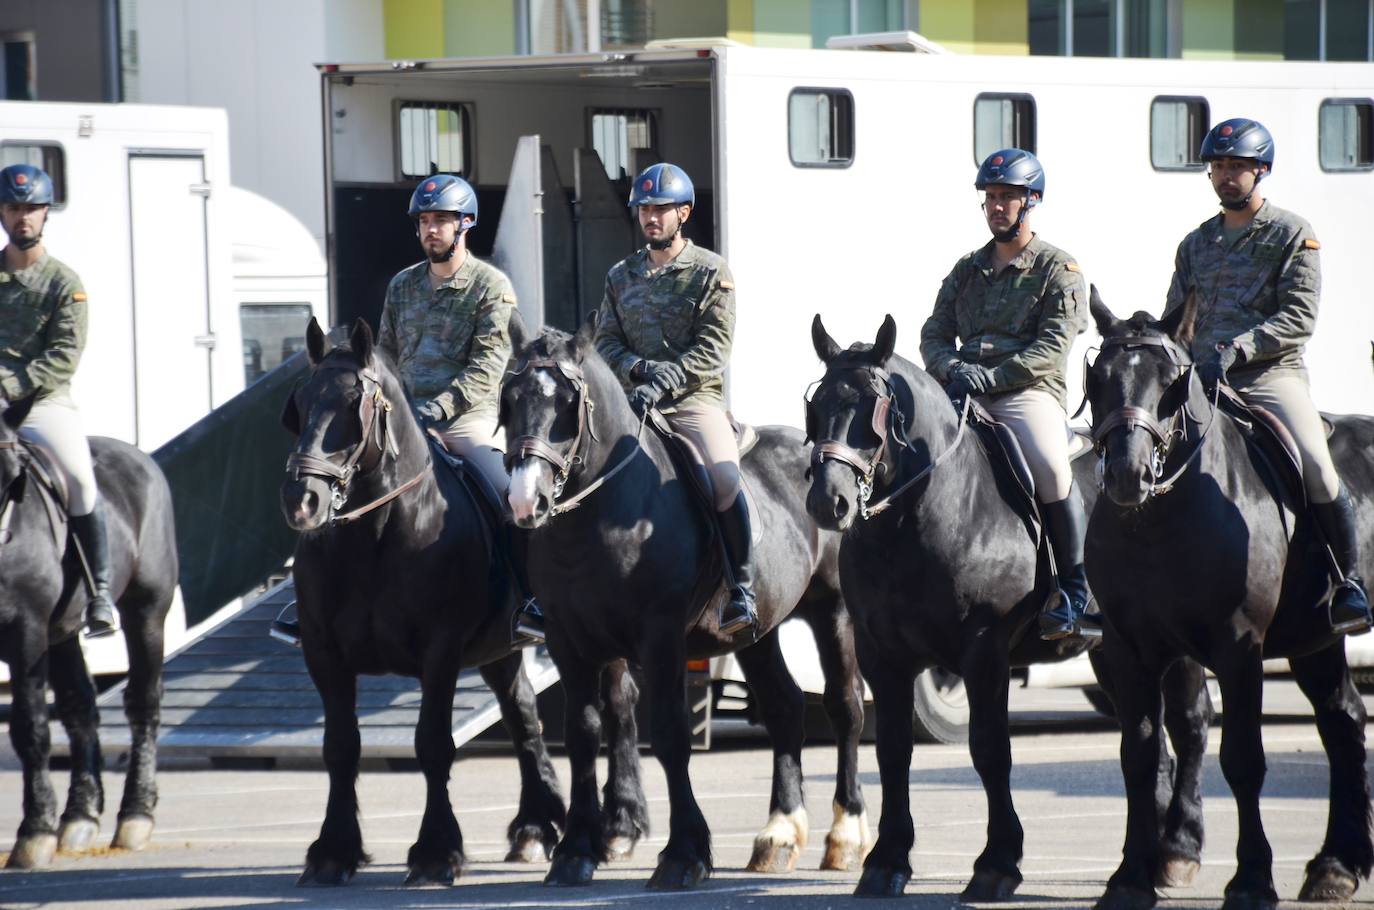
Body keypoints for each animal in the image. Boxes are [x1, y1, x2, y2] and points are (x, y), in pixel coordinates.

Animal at [0, 395, 177, 874]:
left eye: (13, 477)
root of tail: (137, 455)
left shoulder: (24, 629)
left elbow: (30, 728)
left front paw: (34, 832)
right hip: (60, 633)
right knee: (80, 708)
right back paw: (79, 816)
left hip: (146, 610)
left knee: (142, 703)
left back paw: (135, 815)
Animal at [283, 318, 568, 885]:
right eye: (299, 403)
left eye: (353, 404)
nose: (303, 501)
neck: (375, 537)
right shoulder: (324, 655)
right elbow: (340, 747)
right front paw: (333, 850)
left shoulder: (440, 653)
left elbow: (433, 745)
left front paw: (437, 851)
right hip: (499, 652)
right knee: (523, 716)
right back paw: (534, 827)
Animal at [505, 325, 868, 890]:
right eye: (510, 398)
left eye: (568, 404)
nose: (527, 501)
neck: (602, 515)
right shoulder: (569, 641)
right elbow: (583, 734)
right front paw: (574, 851)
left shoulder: (660, 639)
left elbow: (670, 734)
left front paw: (683, 853)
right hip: (757, 633)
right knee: (785, 707)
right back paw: (779, 834)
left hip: (833, 612)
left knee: (845, 706)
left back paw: (845, 836)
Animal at [802, 317, 1214, 901]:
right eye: (816, 408)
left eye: (872, 408)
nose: (828, 502)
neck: (921, 516)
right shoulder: (882, 656)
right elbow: (894, 751)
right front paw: (886, 860)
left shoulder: (983, 654)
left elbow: (989, 749)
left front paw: (997, 863)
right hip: (1113, 655)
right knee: (1151, 739)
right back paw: (1150, 856)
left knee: (1190, 725)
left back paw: (1179, 849)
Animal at [1082, 294, 1374, 910]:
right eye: (1096, 378)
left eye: (1172, 381)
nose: (1125, 474)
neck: (1161, 520)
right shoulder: (1128, 650)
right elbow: (1139, 755)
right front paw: (1130, 876)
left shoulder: (1240, 650)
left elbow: (1242, 759)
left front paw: (1251, 879)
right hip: (1315, 641)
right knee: (1342, 720)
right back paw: (1337, 865)